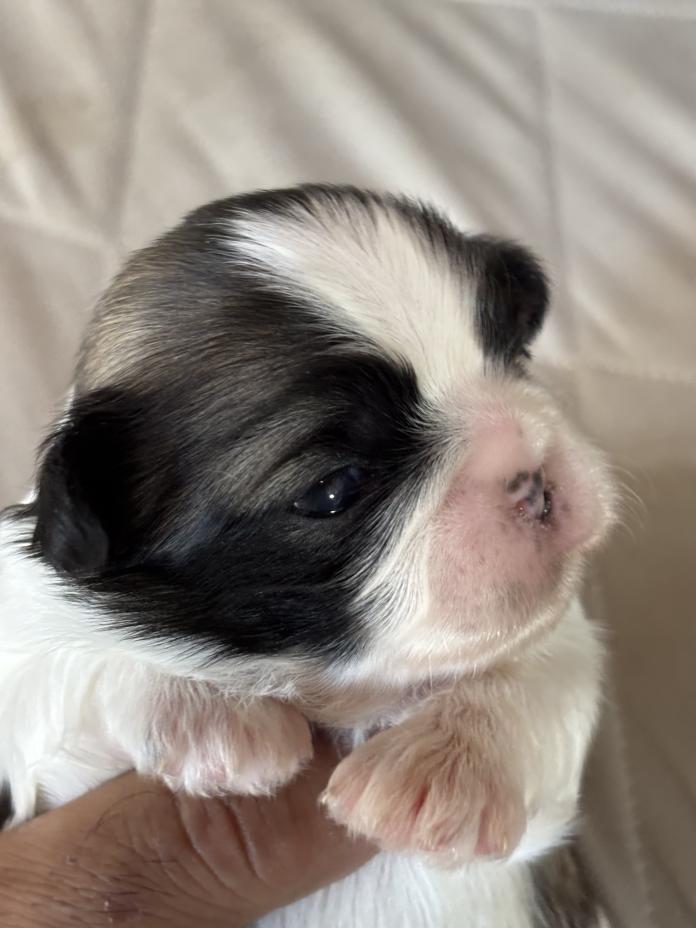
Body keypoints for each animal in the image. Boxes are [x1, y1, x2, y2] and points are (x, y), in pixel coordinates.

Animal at [0, 185, 615, 926]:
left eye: (515, 353)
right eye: (333, 490)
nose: (534, 477)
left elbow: (548, 670)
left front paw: (447, 765)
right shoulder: (31, 634)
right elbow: (65, 659)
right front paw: (214, 718)